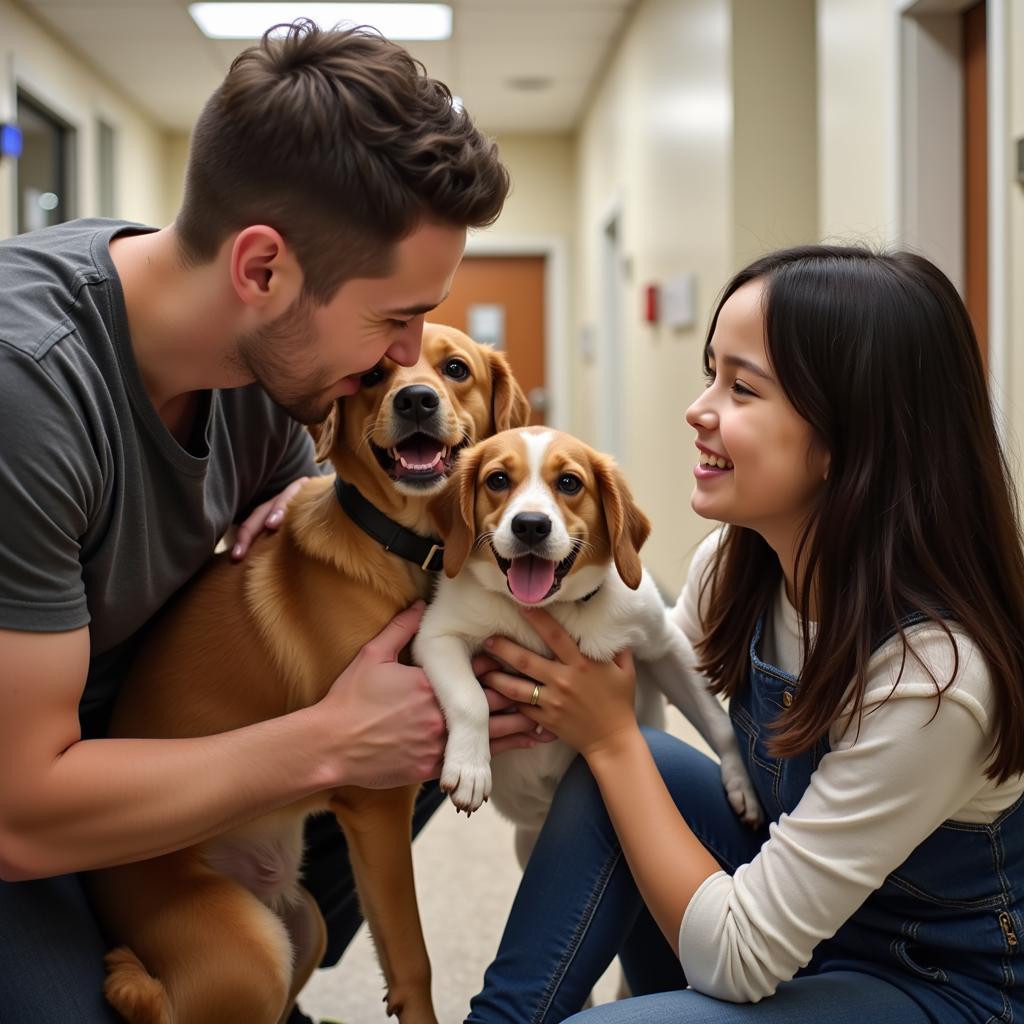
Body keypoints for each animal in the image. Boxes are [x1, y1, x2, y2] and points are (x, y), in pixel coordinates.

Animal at [90, 325, 528, 1024]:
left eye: (456, 369)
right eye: (373, 375)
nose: (415, 400)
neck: (409, 548)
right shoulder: (377, 801)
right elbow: (413, 962)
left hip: (306, 926)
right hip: (255, 954)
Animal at [413, 428, 761, 851]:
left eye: (569, 483)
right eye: (497, 480)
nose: (530, 525)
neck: (552, 608)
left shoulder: (666, 645)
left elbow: (718, 723)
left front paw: (742, 785)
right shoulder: (437, 635)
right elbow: (470, 700)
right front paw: (470, 768)